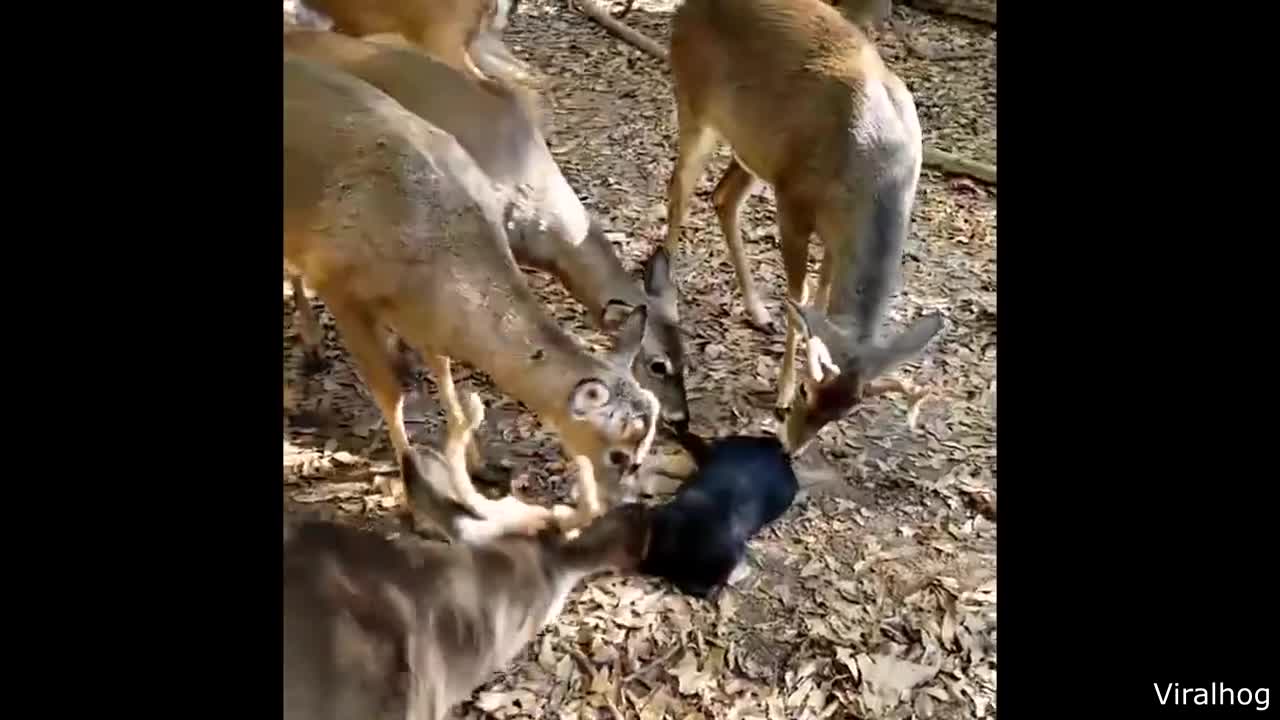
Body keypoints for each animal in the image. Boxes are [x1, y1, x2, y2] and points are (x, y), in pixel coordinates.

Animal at [284, 53, 655, 527]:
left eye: (646, 448)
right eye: (618, 455)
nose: (629, 504)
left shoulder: (423, 316)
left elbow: (447, 384)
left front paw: (480, 464)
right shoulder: (340, 285)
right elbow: (391, 394)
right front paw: (416, 497)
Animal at [665, 0, 947, 450]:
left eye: (843, 414)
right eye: (805, 391)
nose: (791, 444)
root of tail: (683, 10)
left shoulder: (834, 232)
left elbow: (821, 293)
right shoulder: (793, 204)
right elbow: (798, 298)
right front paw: (779, 391)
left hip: (756, 148)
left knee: (723, 197)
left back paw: (757, 310)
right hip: (694, 106)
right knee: (679, 191)